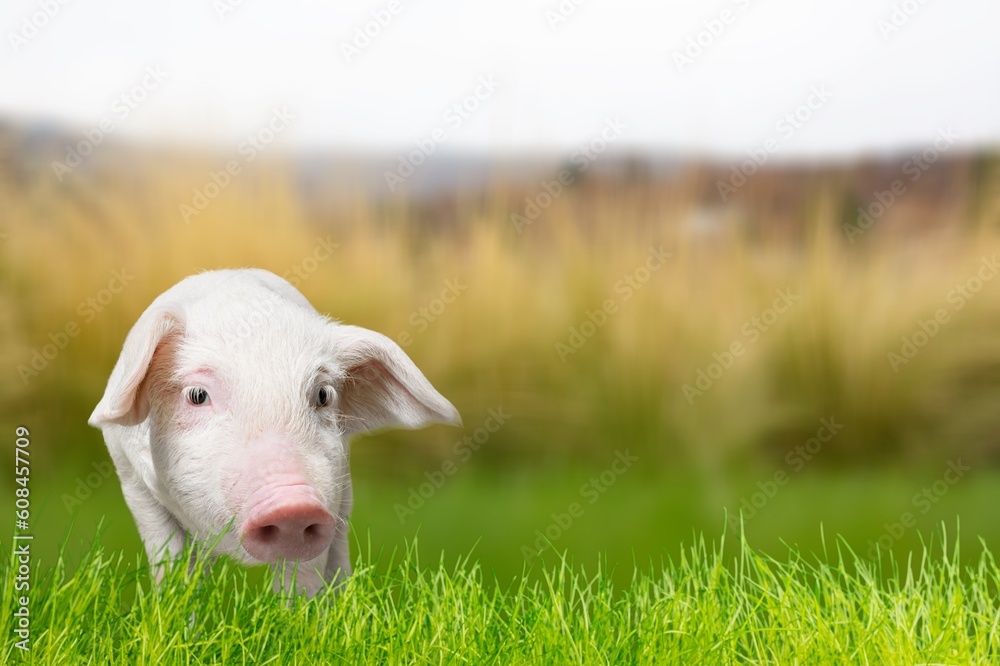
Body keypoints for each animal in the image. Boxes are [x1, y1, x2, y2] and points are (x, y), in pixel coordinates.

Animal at [88, 268, 460, 596]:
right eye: (196, 395)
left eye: (323, 395)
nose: (292, 505)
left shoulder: (330, 492)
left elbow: (304, 577)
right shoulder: (132, 481)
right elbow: (172, 563)